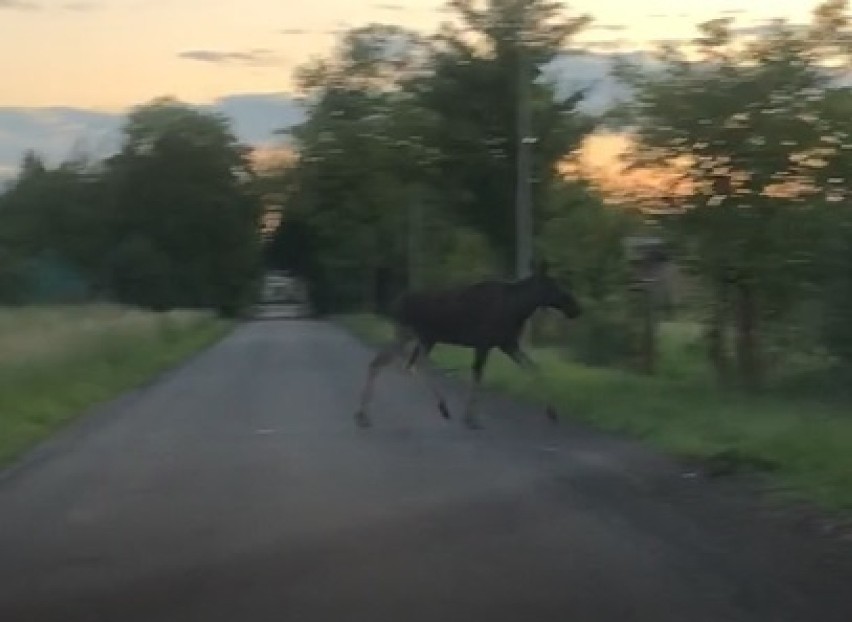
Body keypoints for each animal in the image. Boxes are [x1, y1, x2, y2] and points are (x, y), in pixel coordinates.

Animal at [352, 260, 580, 432]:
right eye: (554, 285)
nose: (575, 307)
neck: (520, 307)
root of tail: (395, 304)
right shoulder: (484, 343)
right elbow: (478, 375)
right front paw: (471, 418)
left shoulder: (507, 343)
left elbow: (534, 368)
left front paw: (552, 412)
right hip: (410, 334)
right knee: (385, 363)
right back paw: (363, 415)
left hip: (423, 338)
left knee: (407, 364)